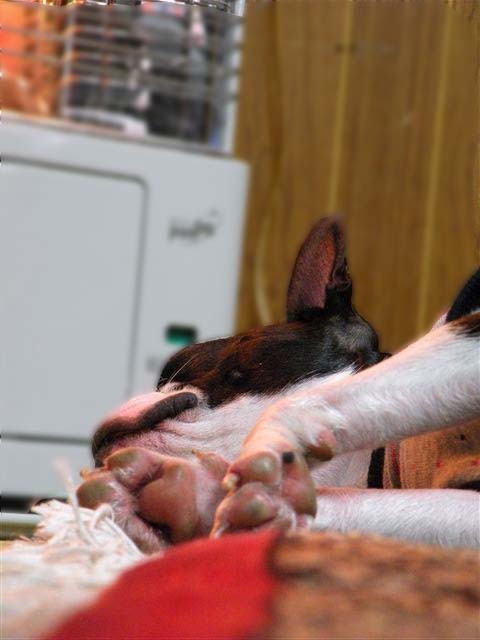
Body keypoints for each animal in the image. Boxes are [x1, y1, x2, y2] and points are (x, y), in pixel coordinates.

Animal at [78, 218, 480, 552]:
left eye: (173, 365)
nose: (93, 444)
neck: (384, 458)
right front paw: (196, 495)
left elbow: (302, 404)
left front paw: (269, 449)